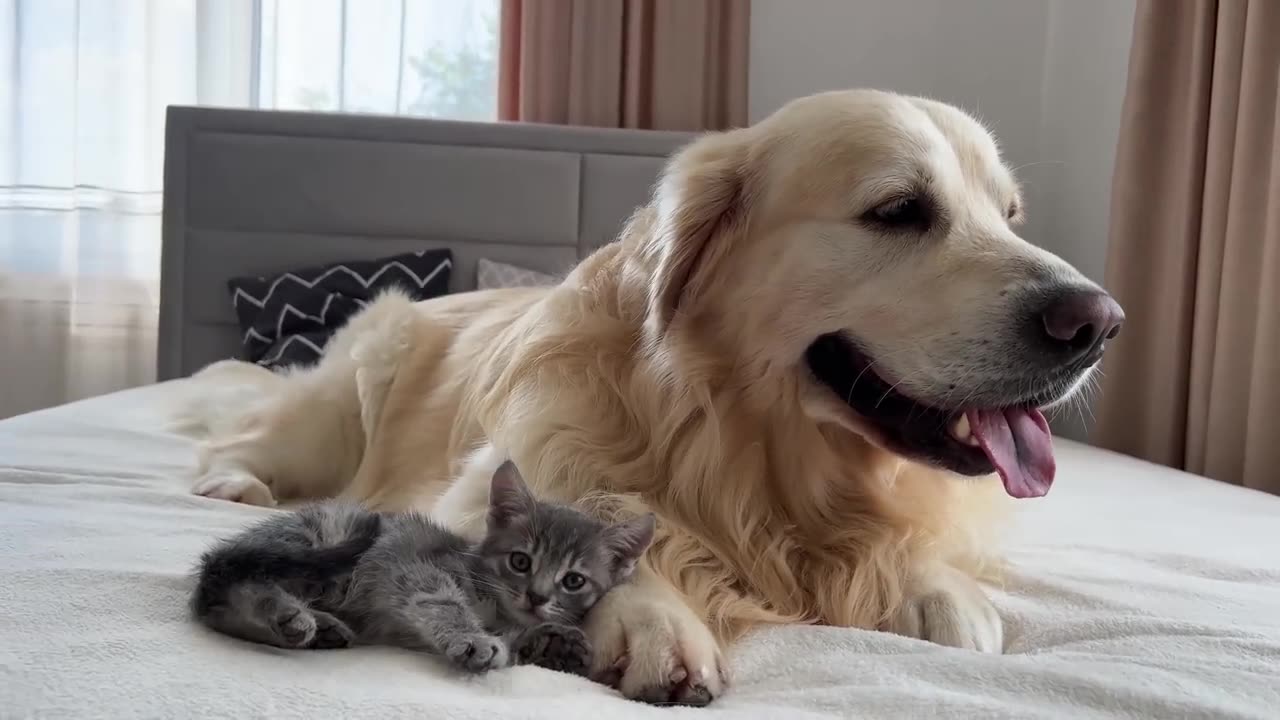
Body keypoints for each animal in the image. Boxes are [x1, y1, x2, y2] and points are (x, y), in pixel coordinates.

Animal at [194, 458, 655, 671]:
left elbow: (521, 640)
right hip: (321, 537)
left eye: (573, 580)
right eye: (520, 561)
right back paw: (288, 616)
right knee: (228, 586)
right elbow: (441, 602)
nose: (537, 596)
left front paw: (554, 641)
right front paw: (473, 638)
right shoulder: (415, 567)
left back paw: (315, 626)